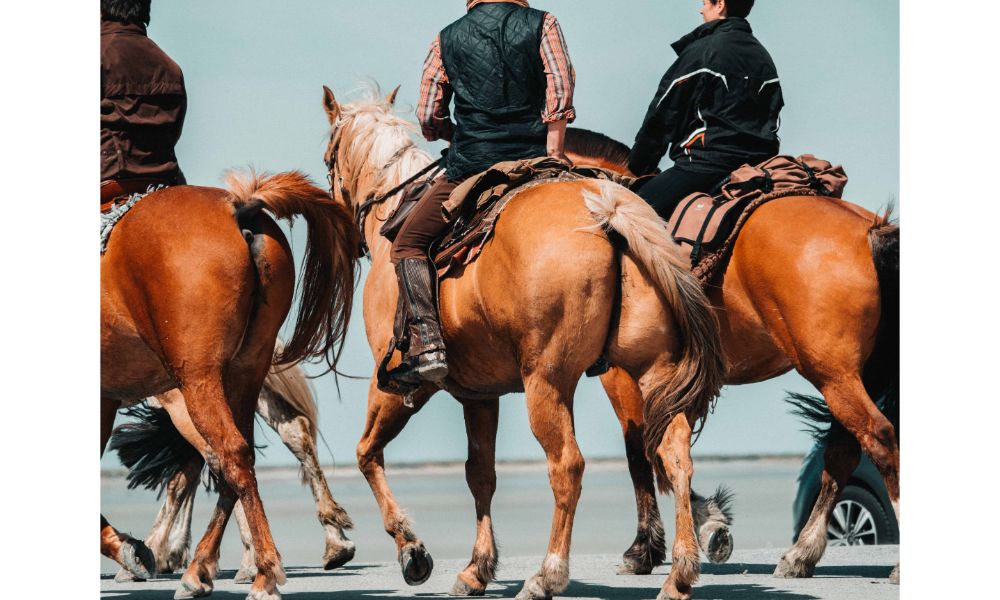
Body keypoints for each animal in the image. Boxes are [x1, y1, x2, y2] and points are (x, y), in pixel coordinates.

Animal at [100, 170, 360, 600]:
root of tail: (238, 207)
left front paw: (131, 551)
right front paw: (132, 550)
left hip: (196, 381)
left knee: (226, 455)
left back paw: (261, 570)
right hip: (245, 371)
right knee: (242, 454)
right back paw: (205, 567)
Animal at [324, 84, 724, 600]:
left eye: (328, 159)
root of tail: (607, 212)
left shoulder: (398, 384)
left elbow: (366, 453)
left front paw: (412, 551)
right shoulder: (479, 395)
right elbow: (481, 475)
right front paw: (476, 568)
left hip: (548, 382)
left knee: (568, 466)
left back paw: (546, 573)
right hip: (652, 370)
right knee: (673, 454)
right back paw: (680, 573)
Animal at [564, 130, 908, 584]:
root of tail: (871, 230)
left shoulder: (624, 377)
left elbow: (641, 452)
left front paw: (645, 549)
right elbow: (667, 448)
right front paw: (708, 523)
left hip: (833, 374)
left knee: (878, 438)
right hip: (852, 374)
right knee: (843, 450)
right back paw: (800, 555)